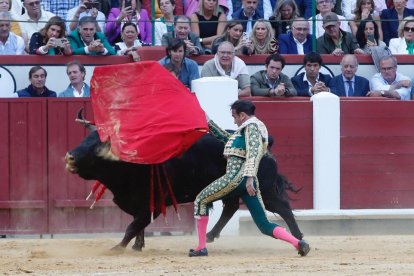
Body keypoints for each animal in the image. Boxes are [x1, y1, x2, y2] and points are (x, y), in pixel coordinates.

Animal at [65, 130, 304, 251]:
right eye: (84, 139)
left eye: (95, 148)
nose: (70, 156)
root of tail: (266, 144)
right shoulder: (139, 202)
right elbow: (138, 225)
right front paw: (136, 246)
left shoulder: (153, 203)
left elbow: (134, 225)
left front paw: (119, 247)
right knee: (231, 208)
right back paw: (210, 235)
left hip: (265, 190)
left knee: (283, 207)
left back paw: (299, 236)